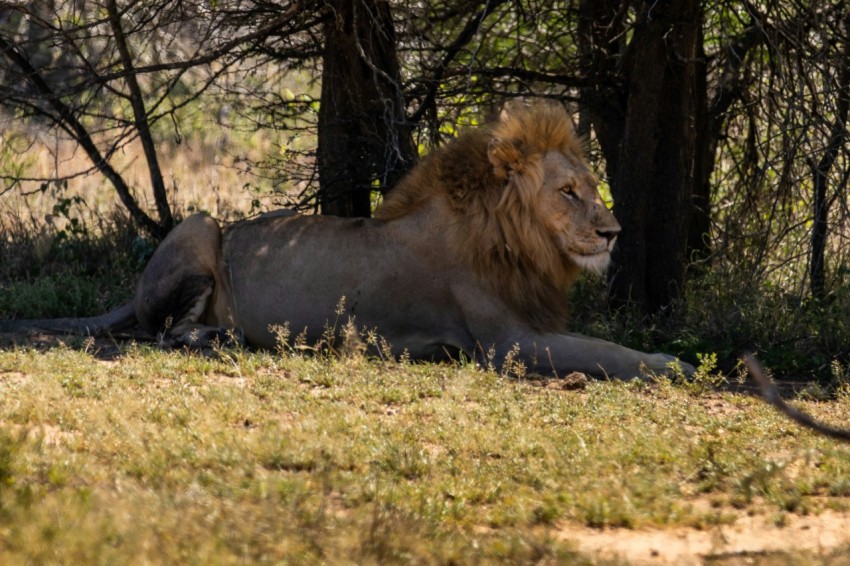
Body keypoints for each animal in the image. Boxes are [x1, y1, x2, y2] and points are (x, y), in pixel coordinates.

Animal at [2, 101, 693, 379]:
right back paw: (224, 337)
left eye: (591, 187)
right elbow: (609, 352)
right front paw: (678, 365)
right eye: (568, 192)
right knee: (164, 331)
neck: (518, 242)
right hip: (200, 223)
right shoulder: (508, 344)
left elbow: (607, 345)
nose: (614, 232)